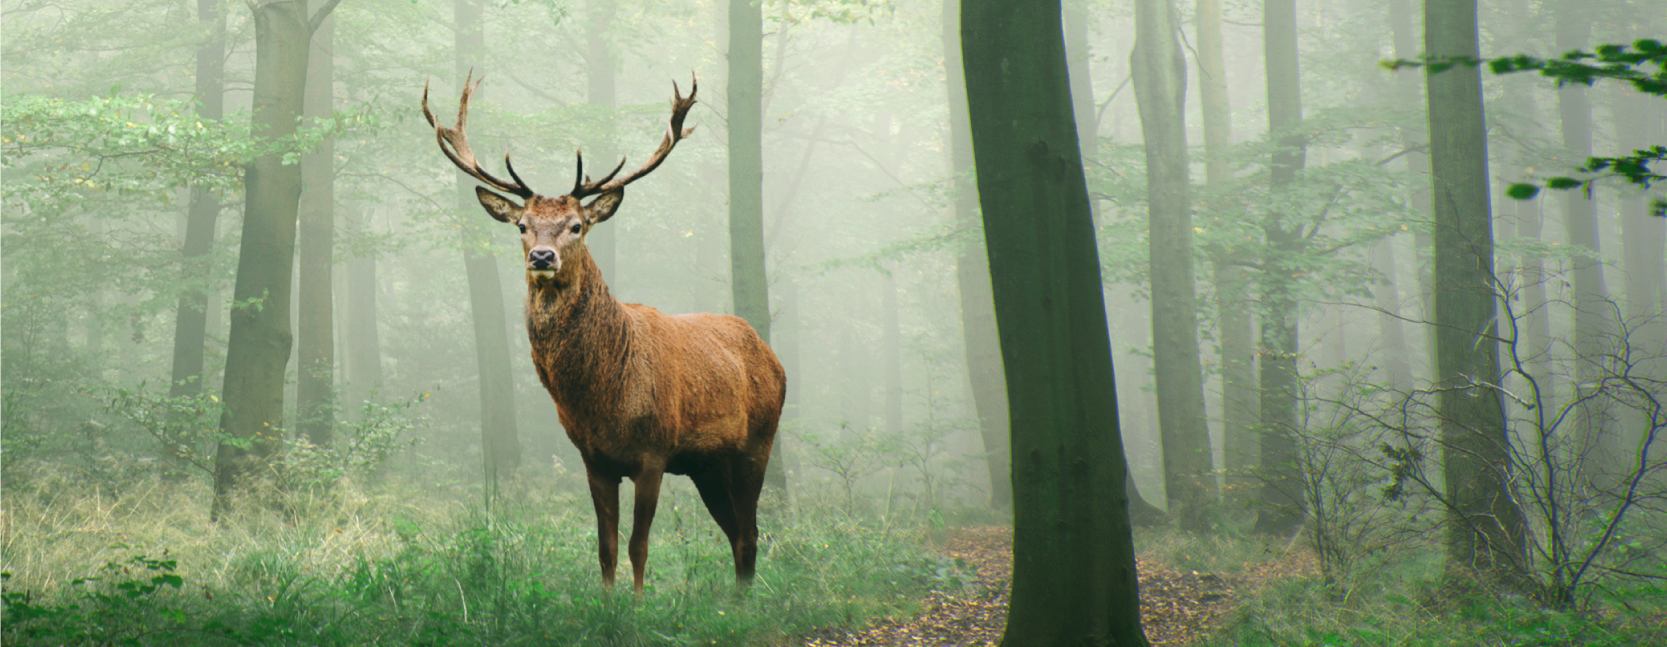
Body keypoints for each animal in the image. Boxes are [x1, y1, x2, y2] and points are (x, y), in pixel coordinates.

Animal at [422, 74, 785, 593]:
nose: (542, 257)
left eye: (576, 225)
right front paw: (609, 602)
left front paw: (636, 605)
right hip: (707, 465)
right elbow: (605, 548)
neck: (603, 397)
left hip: (759, 442)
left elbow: (638, 546)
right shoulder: (593, 459)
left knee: (751, 534)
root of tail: (773, 357)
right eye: (522, 225)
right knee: (737, 534)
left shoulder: (654, 451)